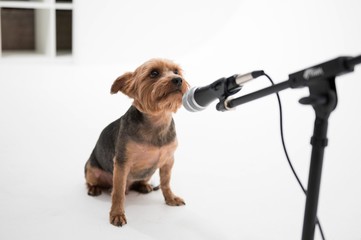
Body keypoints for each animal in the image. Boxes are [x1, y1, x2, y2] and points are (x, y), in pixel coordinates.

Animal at [84, 58, 188, 227]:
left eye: (176, 71)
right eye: (154, 73)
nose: (178, 80)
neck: (158, 120)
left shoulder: (168, 161)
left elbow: (166, 182)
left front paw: (170, 198)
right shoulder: (122, 163)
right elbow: (118, 192)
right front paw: (117, 214)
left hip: (147, 173)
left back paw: (144, 186)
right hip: (91, 169)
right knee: (94, 182)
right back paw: (94, 189)